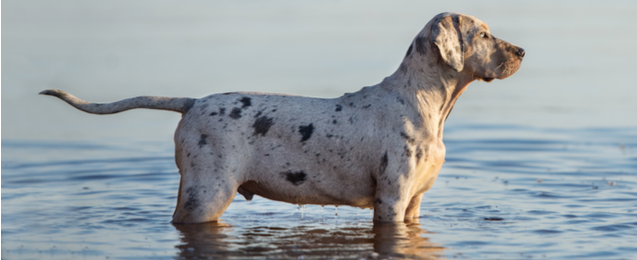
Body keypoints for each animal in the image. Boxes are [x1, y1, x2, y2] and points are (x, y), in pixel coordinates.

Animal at [41, 12, 528, 223]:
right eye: (484, 35)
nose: (522, 51)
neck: (425, 102)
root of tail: (192, 101)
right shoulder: (391, 200)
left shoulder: (414, 204)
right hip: (209, 192)